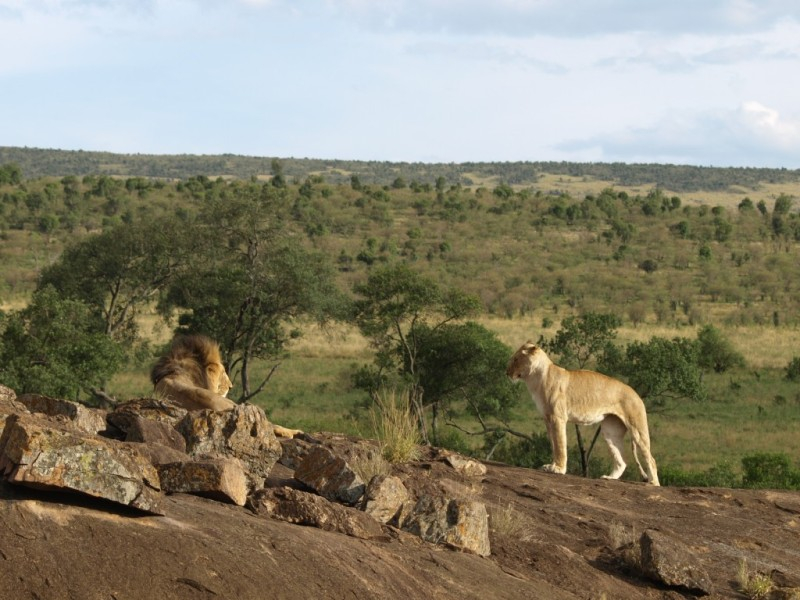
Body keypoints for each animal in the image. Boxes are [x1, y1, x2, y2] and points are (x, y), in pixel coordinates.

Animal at [504, 340, 660, 486]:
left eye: (516, 359)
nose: (507, 372)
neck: (534, 379)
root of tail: (636, 394)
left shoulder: (557, 417)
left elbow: (560, 444)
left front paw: (559, 469)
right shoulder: (547, 419)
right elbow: (554, 445)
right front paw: (551, 465)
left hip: (637, 428)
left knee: (651, 459)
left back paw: (653, 483)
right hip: (610, 431)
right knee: (622, 461)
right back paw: (609, 478)